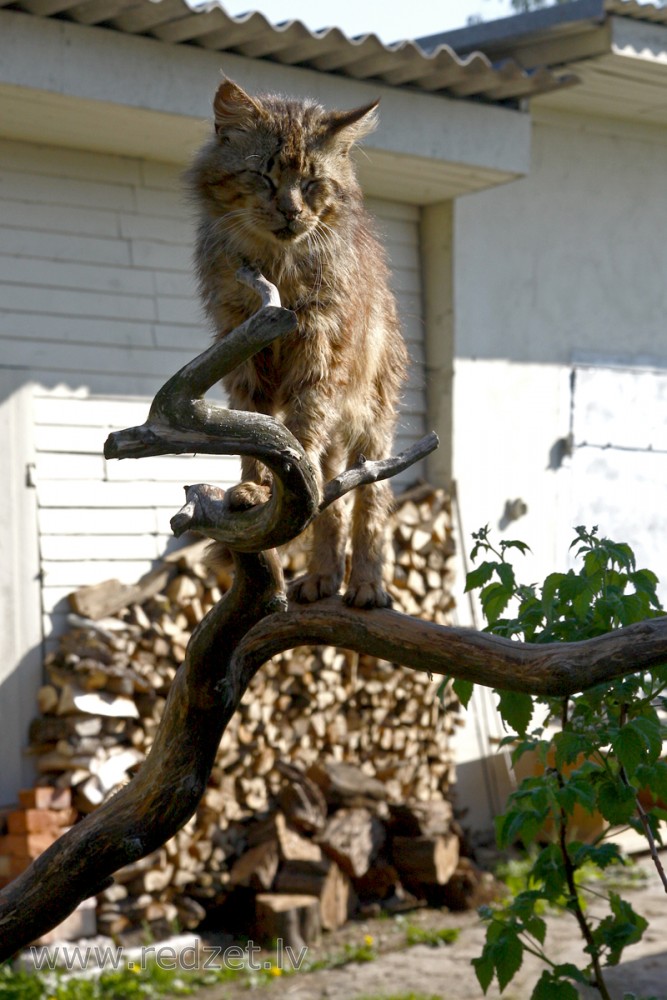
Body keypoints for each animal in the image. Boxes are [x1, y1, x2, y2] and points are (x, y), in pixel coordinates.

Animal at [185, 76, 410, 608]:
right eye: (264, 177)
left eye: (312, 183)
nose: (291, 211)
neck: (277, 268)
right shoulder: (242, 351)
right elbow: (257, 433)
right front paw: (254, 489)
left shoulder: (321, 351)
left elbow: (301, 437)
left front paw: (280, 484)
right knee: (332, 502)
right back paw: (321, 577)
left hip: (375, 418)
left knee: (370, 501)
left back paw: (366, 583)